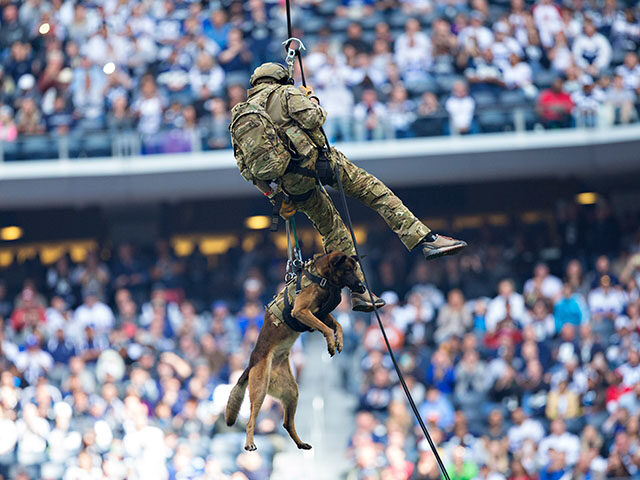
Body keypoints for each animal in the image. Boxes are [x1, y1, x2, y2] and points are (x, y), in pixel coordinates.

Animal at [225, 253, 364, 452]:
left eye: (355, 269)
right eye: (347, 270)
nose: (361, 286)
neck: (321, 277)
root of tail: (252, 362)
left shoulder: (321, 314)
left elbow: (338, 325)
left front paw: (339, 342)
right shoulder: (301, 311)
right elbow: (326, 329)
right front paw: (331, 342)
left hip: (291, 391)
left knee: (287, 423)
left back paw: (300, 443)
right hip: (260, 389)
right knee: (251, 420)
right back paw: (250, 442)